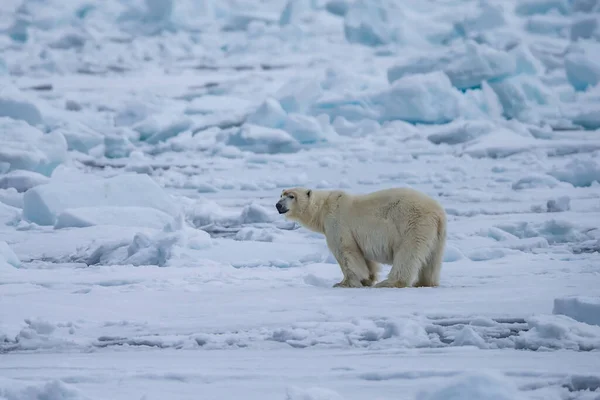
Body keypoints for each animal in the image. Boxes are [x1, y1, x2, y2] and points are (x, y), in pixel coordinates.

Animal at [276, 186, 446, 290]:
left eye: (291, 196)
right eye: (281, 194)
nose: (278, 205)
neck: (324, 208)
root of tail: (437, 212)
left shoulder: (337, 222)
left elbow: (346, 252)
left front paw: (343, 283)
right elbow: (364, 258)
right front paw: (368, 279)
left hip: (411, 224)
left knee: (407, 254)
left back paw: (389, 282)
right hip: (436, 234)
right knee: (432, 260)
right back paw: (424, 282)